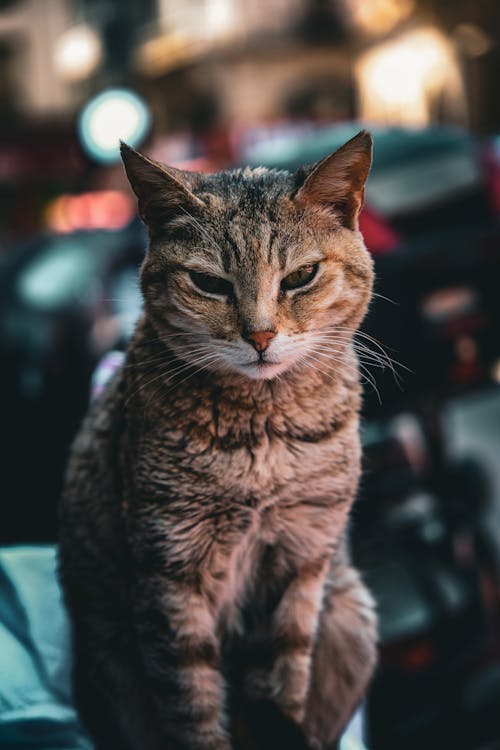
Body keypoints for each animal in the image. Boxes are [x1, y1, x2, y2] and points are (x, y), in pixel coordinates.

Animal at [58, 131, 376, 750]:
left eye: (300, 276)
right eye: (209, 283)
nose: (260, 335)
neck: (263, 432)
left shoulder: (301, 560)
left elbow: (282, 680)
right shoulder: (170, 571)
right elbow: (194, 705)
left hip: (349, 614)